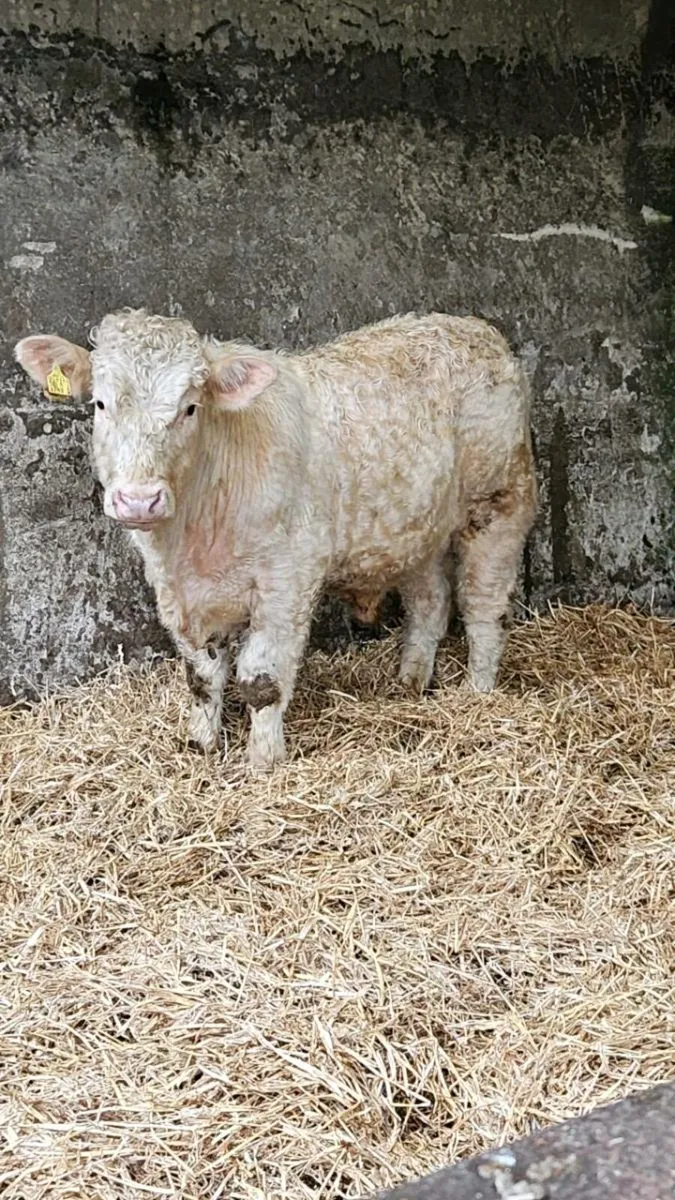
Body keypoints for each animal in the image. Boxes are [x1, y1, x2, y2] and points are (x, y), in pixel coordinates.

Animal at [15, 310, 537, 769]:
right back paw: (409, 684)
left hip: (499, 505)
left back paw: (477, 694)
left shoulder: (287, 579)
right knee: (431, 603)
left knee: (483, 608)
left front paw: (263, 761)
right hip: (416, 532)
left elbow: (261, 679)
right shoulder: (178, 592)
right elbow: (201, 677)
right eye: (101, 404)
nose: (139, 500)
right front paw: (199, 746)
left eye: (190, 407)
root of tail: (473, 328)